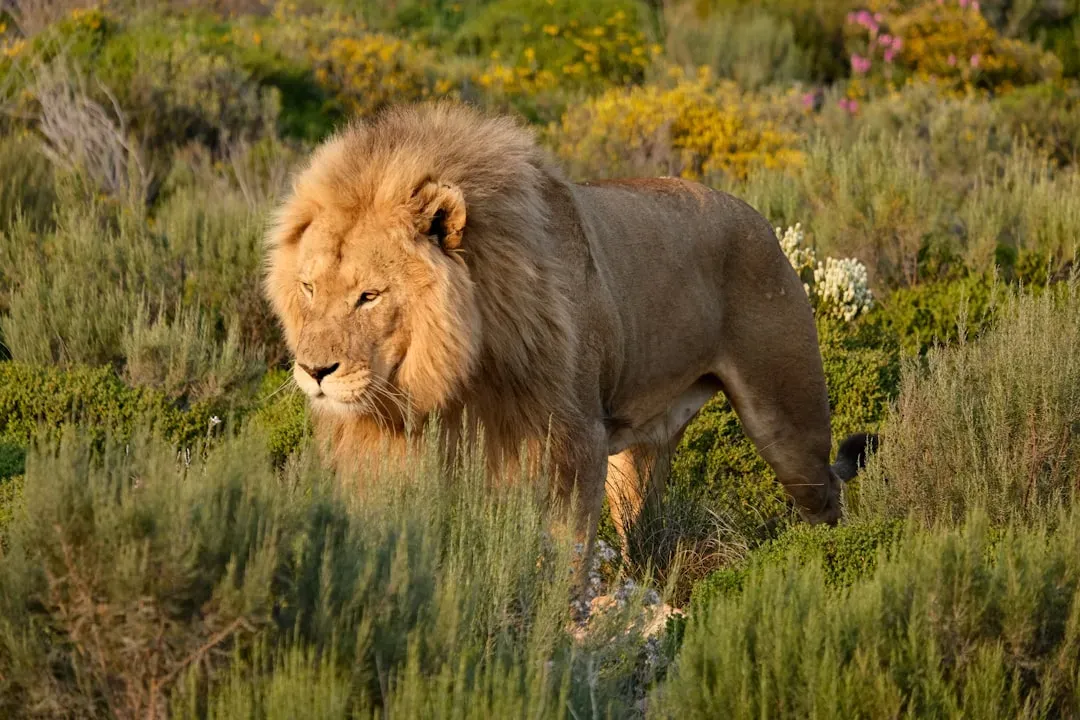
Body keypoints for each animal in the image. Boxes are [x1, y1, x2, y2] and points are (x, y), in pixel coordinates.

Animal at [264, 102, 875, 555]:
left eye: (369, 296)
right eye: (310, 289)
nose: (314, 371)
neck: (453, 373)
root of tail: (760, 219)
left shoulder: (573, 446)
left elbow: (563, 559)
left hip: (787, 423)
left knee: (826, 496)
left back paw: (825, 562)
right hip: (642, 449)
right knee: (644, 533)